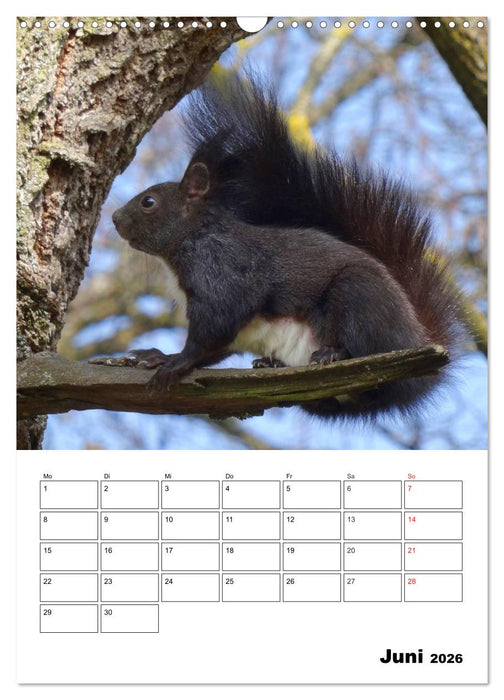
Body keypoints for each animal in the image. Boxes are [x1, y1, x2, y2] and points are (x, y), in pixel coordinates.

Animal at [111, 73, 466, 418]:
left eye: (148, 202)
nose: (114, 218)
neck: (192, 237)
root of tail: (415, 339)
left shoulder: (222, 269)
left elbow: (214, 328)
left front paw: (174, 363)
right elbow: (218, 346)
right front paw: (158, 356)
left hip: (361, 296)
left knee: (368, 349)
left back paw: (334, 353)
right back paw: (271, 363)